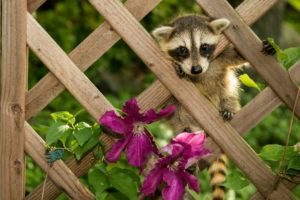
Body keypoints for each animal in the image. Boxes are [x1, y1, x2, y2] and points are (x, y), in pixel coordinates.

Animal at [151, 14, 247, 200]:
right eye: (182, 50)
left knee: (229, 93)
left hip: (226, 92)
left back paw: (228, 108)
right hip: (183, 123)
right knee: (185, 133)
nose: (196, 69)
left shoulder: (220, 57)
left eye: (204, 47)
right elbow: (167, 102)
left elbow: (234, 56)